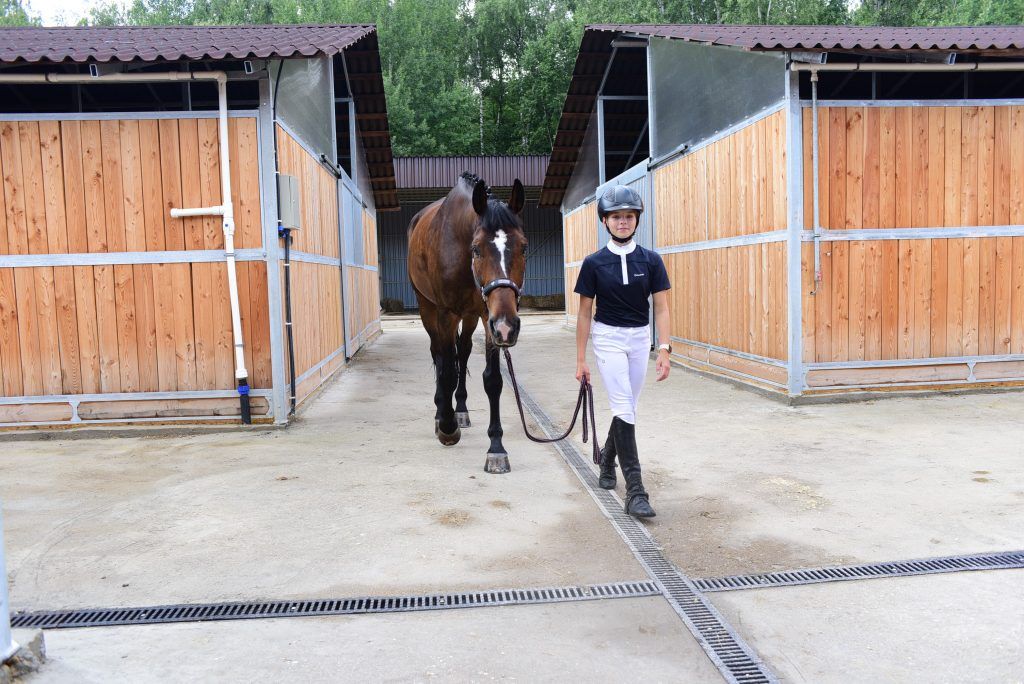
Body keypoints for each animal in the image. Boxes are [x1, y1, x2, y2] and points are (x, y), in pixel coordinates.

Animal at [405, 174, 524, 473]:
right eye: (477, 249)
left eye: (524, 246)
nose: (509, 326)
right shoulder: (446, 313)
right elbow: (446, 369)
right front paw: (447, 428)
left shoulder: (488, 316)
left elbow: (492, 379)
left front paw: (496, 448)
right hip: (427, 308)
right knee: (439, 354)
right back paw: (442, 413)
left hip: (470, 316)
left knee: (464, 350)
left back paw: (460, 410)